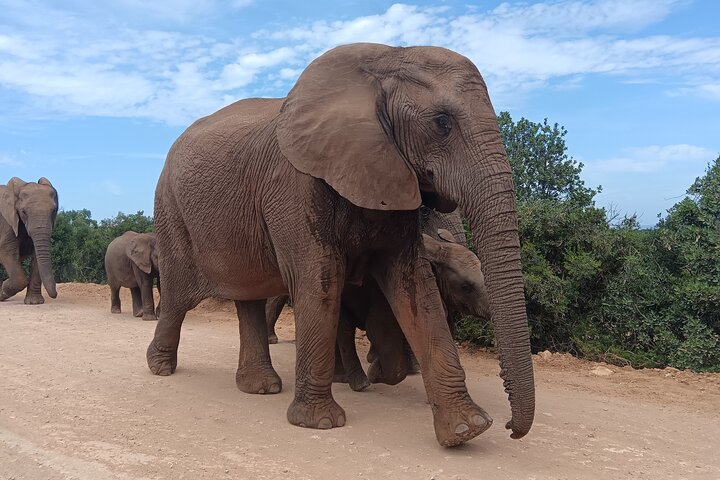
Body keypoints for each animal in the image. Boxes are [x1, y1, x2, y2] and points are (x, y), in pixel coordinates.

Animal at [0, 176, 58, 304]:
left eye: (54, 211)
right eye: (23, 212)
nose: (55, 294)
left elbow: (37, 255)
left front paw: (34, 302)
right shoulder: (6, 222)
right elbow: (7, 251)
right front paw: (3, 289)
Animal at [148, 42, 536, 446]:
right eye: (442, 122)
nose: (511, 429)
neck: (385, 62)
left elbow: (415, 288)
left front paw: (466, 430)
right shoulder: (296, 185)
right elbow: (320, 279)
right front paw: (320, 422)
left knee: (247, 296)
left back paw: (261, 387)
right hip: (170, 207)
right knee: (178, 293)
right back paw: (160, 367)